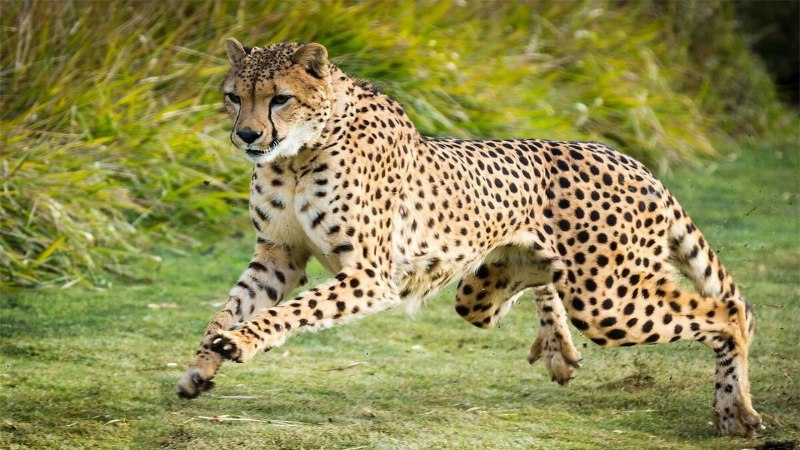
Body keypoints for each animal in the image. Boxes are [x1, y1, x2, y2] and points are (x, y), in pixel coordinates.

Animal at [176, 38, 763, 437]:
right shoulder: (280, 255)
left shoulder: (369, 276)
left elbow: (289, 312)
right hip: (486, 290)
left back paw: (735, 409)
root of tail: (630, 159)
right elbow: (229, 308)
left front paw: (242, 343)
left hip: (607, 299)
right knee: (533, 283)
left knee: (729, 311)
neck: (298, 153)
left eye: (279, 99)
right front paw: (201, 366)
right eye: (233, 97)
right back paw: (556, 340)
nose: (247, 135)